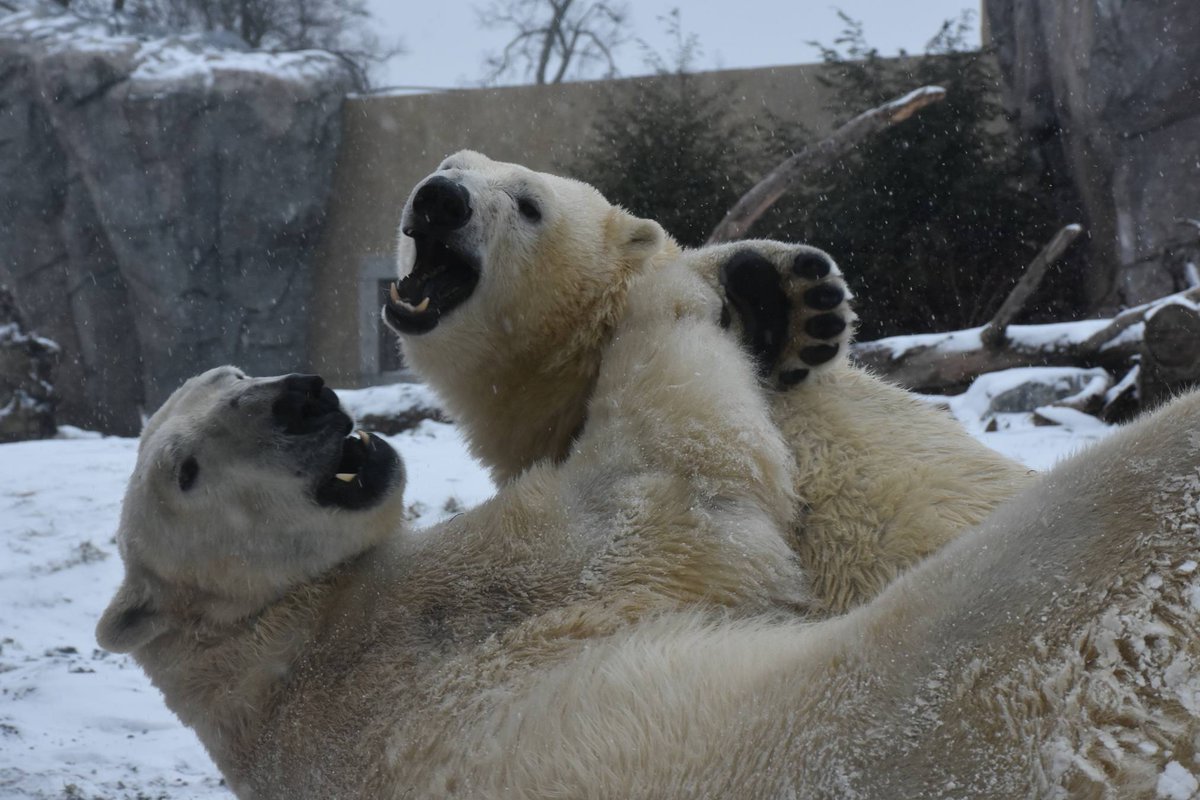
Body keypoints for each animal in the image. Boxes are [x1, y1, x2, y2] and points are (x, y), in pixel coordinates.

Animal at [98, 245, 1200, 800]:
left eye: (227, 373)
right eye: (186, 469)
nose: (304, 396)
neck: (272, 653)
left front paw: (776, 286)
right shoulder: (434, 616)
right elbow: (677, 484)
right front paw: (688, 282)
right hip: (935, 709)